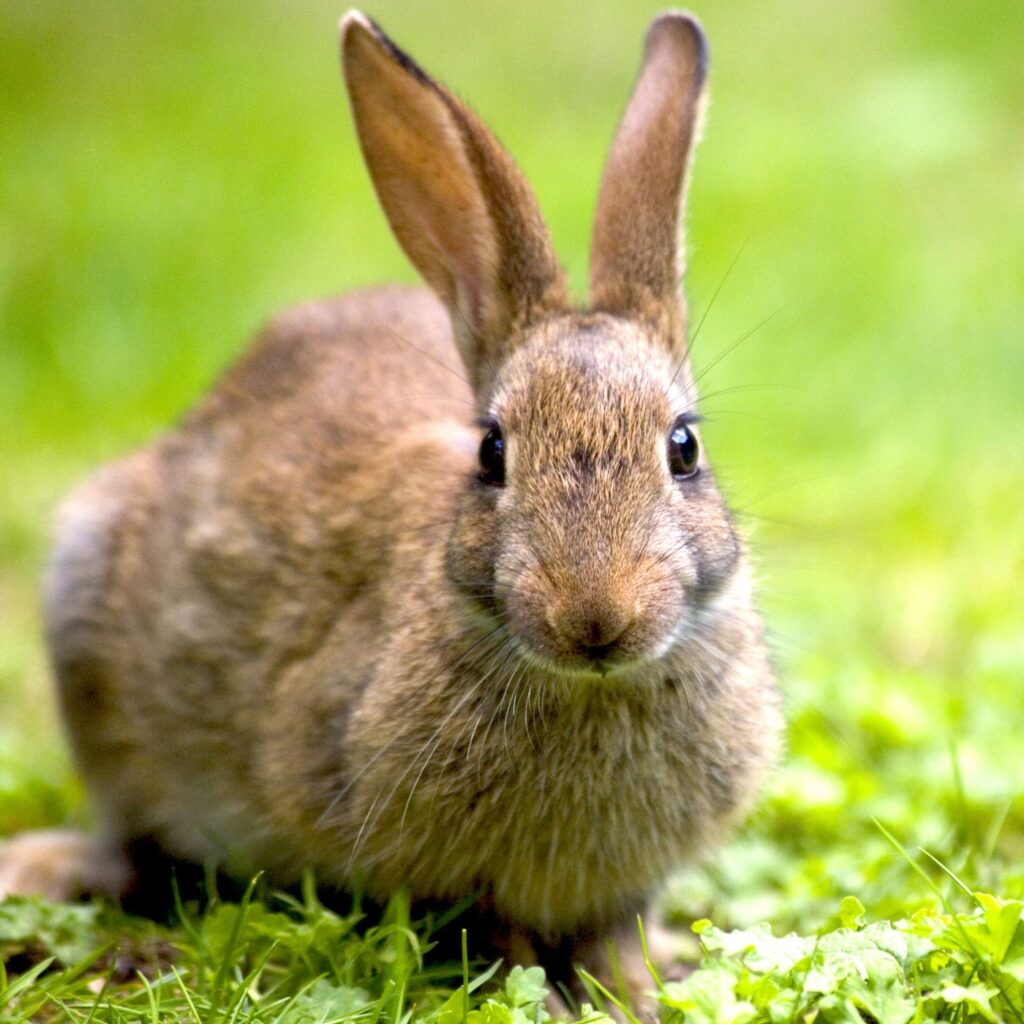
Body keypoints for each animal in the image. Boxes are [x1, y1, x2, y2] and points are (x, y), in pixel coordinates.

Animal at [0, 8, 782, 1006]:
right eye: (491, 453)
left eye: (684, 449)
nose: (595, 617)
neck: (589, 688)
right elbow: (500, 935)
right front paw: (548, 1001)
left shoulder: (623, 888)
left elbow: (617, 940)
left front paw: (641, 998)